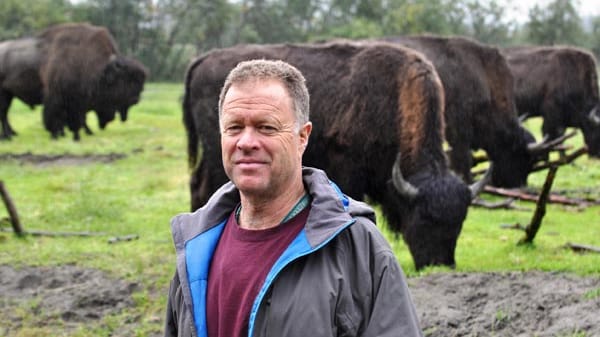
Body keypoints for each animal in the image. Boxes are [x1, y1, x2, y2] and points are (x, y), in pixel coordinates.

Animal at [0, 22, 148, 140]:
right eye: (127, 80)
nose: (136, 99)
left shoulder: (78, 102)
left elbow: (77, 119)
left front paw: (74, 134)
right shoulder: (59, 97)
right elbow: (56, 117)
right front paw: (57, 135)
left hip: (9, 94)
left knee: (5, 114)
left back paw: (12, 134)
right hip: (4, 95)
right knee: (4, 114)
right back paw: (8, 136)